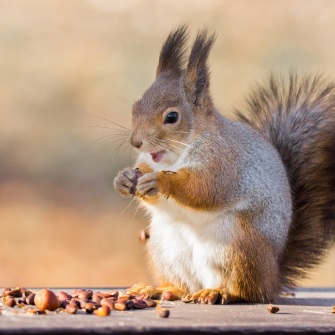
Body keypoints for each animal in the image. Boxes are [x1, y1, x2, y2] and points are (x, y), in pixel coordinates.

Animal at [114, 26, 334, 304]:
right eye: (135, 107)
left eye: (172, 117)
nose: (136, 141)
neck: (177, 155)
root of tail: (273, 277)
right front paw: (124, 178)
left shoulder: (224, 162)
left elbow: (205, 189)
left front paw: (162, 181)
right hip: (165, 248)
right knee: (182, 287)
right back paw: (159, 289)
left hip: (239, 248)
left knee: (247, 291)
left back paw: (220, 292)